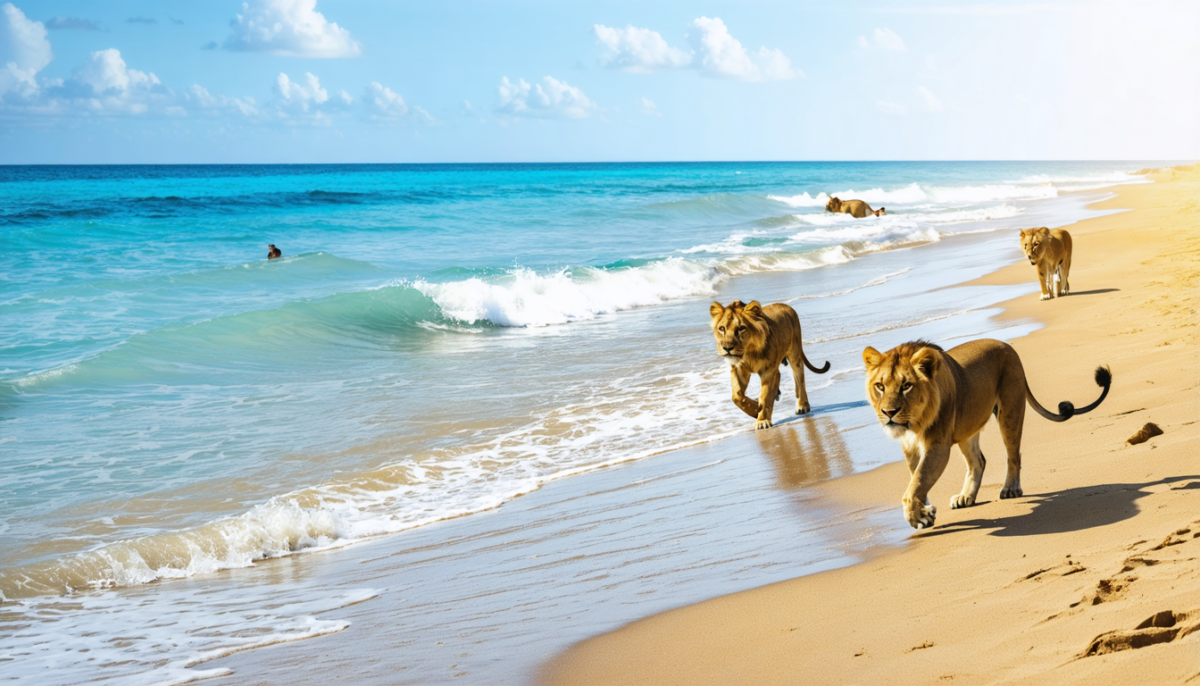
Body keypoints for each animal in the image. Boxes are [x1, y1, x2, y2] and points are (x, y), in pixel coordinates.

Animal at [710, 300, 831, 430]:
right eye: (722, 328)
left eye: (741, 328)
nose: (727, 348)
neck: (749, 353)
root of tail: (785, 305)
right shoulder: (738, 369)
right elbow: (736, 396)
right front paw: (755, 408)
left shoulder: (768, 371)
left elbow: (766, 395)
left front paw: (762, 420)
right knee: (779, 375)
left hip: (795, 353)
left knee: (799, 378)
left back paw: (802, 406)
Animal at [862, 338, 1110, 530]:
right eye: (880, 386)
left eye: (906, 386)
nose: (889, 413)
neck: (914, 423)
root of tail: (1006, 345)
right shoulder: (910, 446)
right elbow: (917, 478)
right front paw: (926, 512)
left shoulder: (938, 445)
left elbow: (918, 481)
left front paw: (917, 515)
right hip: (968, 426)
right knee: (978, 461)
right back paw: (966, 497)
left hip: (1009, 412)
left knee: (1013, 456)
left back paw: (1010, 489)